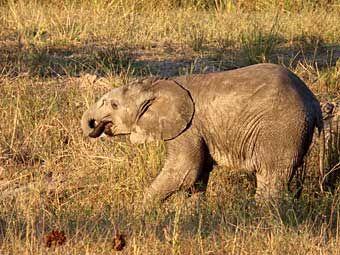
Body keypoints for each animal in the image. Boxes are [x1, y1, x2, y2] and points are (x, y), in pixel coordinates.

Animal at [81, 63, 322, 203]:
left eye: (114, 105)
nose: (95, 125)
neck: (159, 84)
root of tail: (313, 100)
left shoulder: (189, 127)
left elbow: (185, 170)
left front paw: (142, 213)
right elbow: (198, 175)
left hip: (281, 128)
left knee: (271, 175)